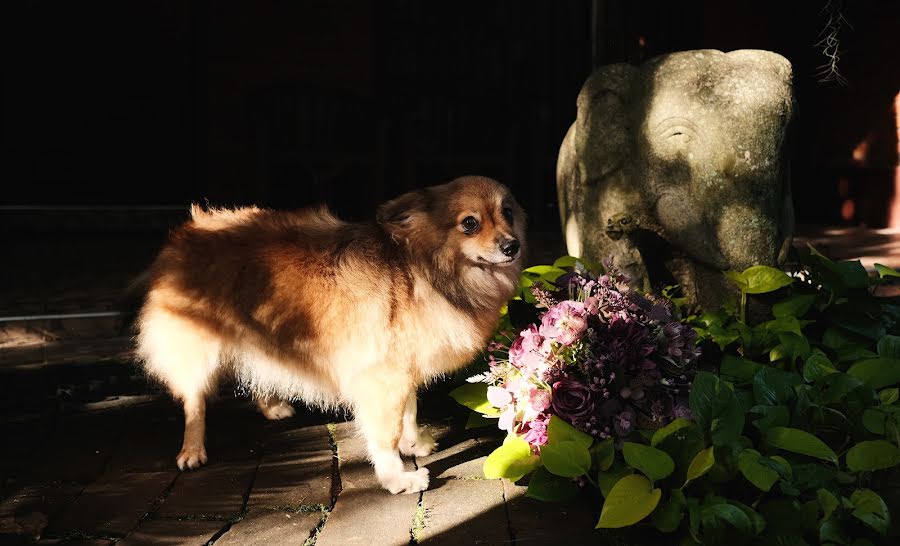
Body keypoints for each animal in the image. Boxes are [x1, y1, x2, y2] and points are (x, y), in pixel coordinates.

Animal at [135, 175, 528, 492]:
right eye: (470, 224)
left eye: (508, 213)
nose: (513, 246)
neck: (422, 271)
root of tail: (188, 232)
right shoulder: (381, 377)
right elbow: (386, 433)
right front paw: (397, 478)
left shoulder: (401, 370)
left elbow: (409, 412)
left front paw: (414, 443)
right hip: (196, 351)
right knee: (194, 401)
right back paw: (192, 449)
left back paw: (271, 407)